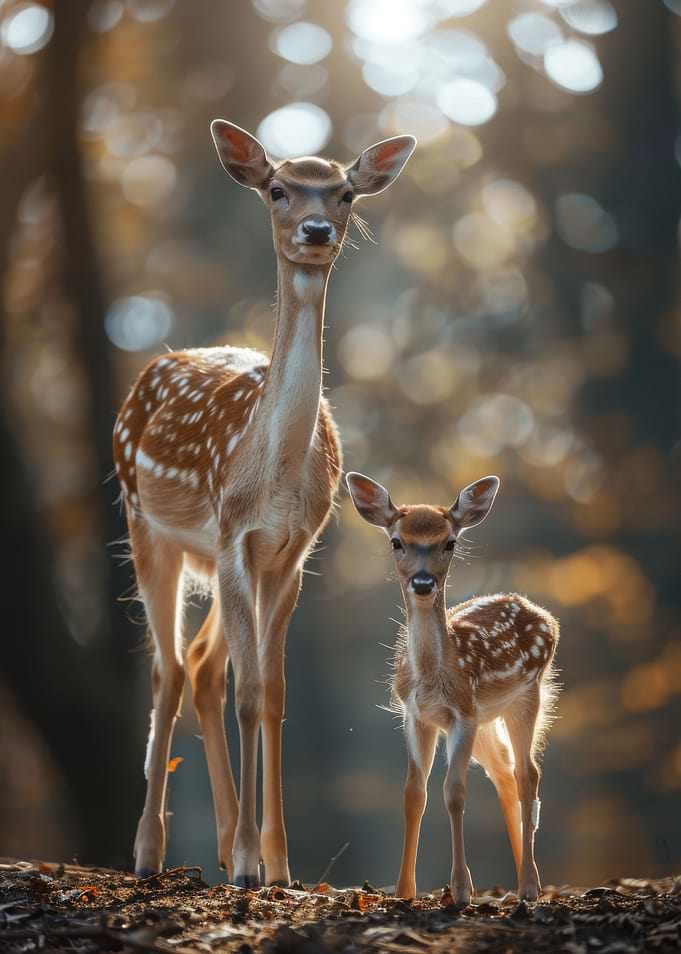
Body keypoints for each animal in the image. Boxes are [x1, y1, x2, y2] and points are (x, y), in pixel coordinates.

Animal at [112, 122, 416, 887]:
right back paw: (150, 852)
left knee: (200, 665)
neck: (272, 479)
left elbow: (271, 694)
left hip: (215, 559)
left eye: (343, 192)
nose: (315, 229)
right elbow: (249, 692)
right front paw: (253, 863)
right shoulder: (234, 537)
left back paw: (223, 846)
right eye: (278, 188)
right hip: (145, 524)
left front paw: (275, 863)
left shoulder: (289, 551)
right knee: (167, 668)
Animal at [345, 472, 559, 904]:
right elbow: (414, 793)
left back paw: (530, 886)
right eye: (396, 541)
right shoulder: (418, 715)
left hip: (528, 696)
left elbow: (455, 792)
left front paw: (461, 890)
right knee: (504, 775)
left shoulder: (463, 713)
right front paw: (404, 891)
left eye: (450, 542)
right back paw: (517, 883)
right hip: (487, 720)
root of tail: (545, 616)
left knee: (528, 774)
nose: (423, 582)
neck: (435, 678)